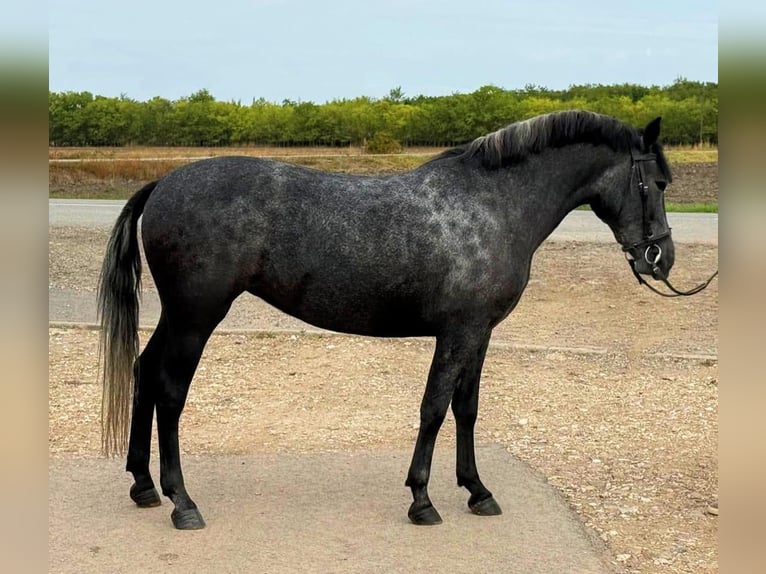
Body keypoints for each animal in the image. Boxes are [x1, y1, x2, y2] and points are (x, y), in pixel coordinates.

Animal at [98, 110, 675, 530]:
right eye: (657, 182)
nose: (661, 258)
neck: (494, 204)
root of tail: (164, 183)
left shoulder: (479, 334)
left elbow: (467, 409)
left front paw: (477, 491)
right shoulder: (457, 333)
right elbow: (434, 409)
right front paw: (422, 499)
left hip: (178, 317)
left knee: (144, 373)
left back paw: (143, 486)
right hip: (196, 319)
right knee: (171, 392)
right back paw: (182, 501)